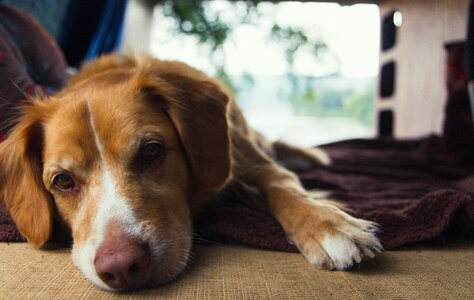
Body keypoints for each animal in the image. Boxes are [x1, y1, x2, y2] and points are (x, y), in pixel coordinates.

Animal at [0, 54, 380, 290]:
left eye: (151, 151)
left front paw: (328, 224)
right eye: (63, 181)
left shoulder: (253, 161)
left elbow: (283, 186)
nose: (122, 267)